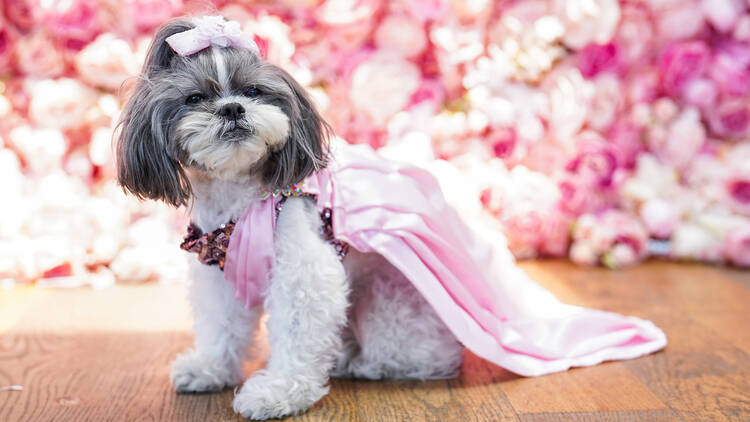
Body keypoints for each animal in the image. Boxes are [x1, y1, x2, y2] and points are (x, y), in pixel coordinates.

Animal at [115, 16, 464, 418]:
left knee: (415, 356)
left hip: (388, 311)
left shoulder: (303, 272)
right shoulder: (217, 268)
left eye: (253, 90)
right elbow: (220, 323)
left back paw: (360, 361)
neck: (238, 198)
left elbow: (298, 332)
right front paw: (210, 369)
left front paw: (278, 393)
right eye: (194, 98)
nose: (232, 108)